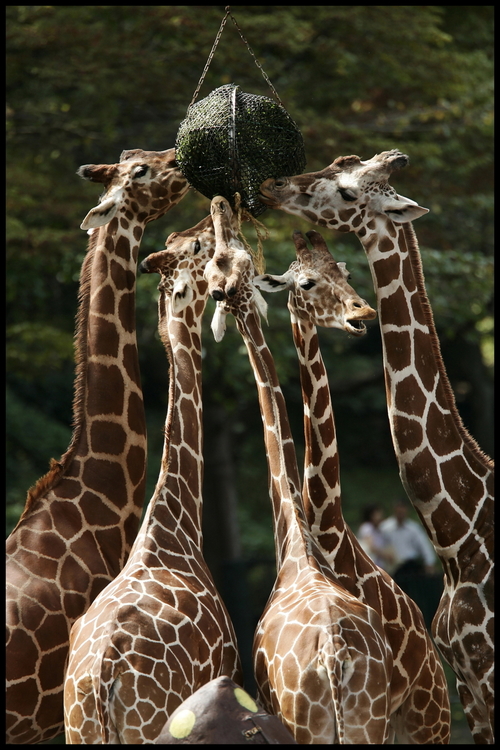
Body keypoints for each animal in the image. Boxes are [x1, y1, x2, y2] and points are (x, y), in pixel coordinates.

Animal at [63, 204, 243, 748]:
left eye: (187, 242)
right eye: (202, 249)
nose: (219, 209)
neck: (175, 522)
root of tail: (104, 673)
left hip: (79, 728)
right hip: (150, 724)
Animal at [207, 195, 394, 748]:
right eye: (222, 270)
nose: (220, 203)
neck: (296, 544)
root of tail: (335, 656)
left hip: (309, 725)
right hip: (369, 724)